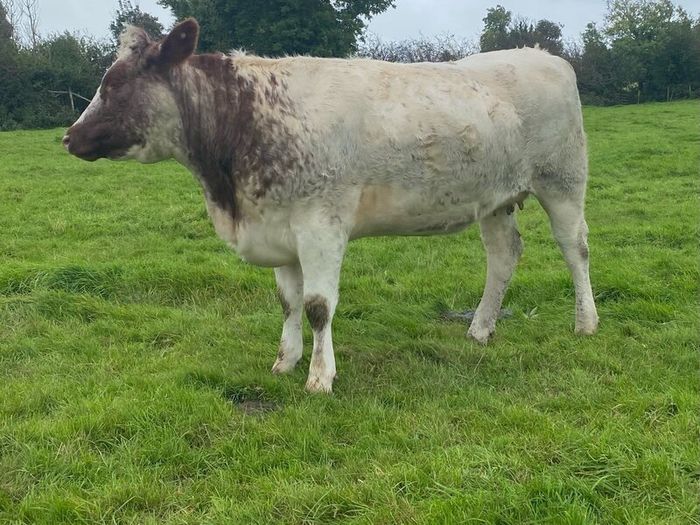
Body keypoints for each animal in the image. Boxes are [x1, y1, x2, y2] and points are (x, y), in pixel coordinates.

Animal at [63, 19, 599, 393]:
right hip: (495, 198)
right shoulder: (278, 229)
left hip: (563, 180)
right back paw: (481, 329)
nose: (69, 137)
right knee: (504, 255)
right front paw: (285, 360)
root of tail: (544, 56)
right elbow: (289, 302)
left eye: (114, 85)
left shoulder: (320, 225)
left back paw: (585, 322)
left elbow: (319, 305)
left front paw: (320, 376)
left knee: (575, 249)